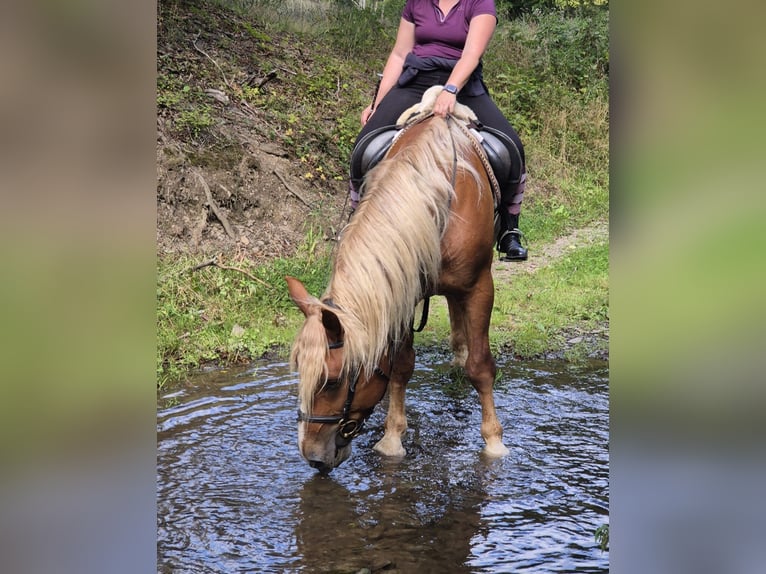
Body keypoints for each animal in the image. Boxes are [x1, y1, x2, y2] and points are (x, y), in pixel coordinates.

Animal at [286, 87, 510, 472]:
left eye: (333, 382)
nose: (314, 458)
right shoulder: (401, 290)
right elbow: (400, 367)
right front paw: (392, 439)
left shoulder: (480, 285)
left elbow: (481, 367)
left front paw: (494, 443)